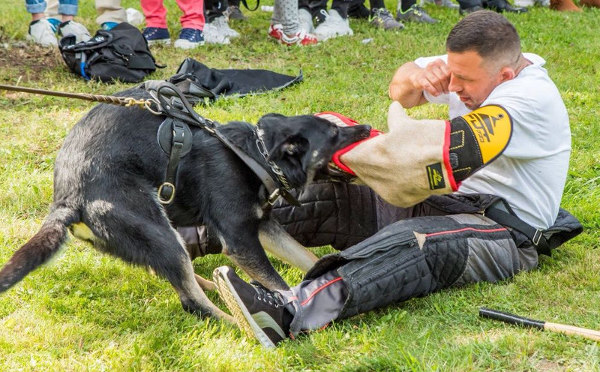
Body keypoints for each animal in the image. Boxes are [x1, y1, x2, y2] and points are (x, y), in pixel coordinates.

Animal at [0, 88, 370, 322]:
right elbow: (281, 284)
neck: (257, 154)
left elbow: (307, 257)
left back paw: (216, 288)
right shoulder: (240, 241)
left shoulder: (263, 228)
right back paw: (239, 324)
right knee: (192, 302)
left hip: (158, 238)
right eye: (334, 134)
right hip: (158, 231)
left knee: (173, 274)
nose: (367, 127)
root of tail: (65, 200)